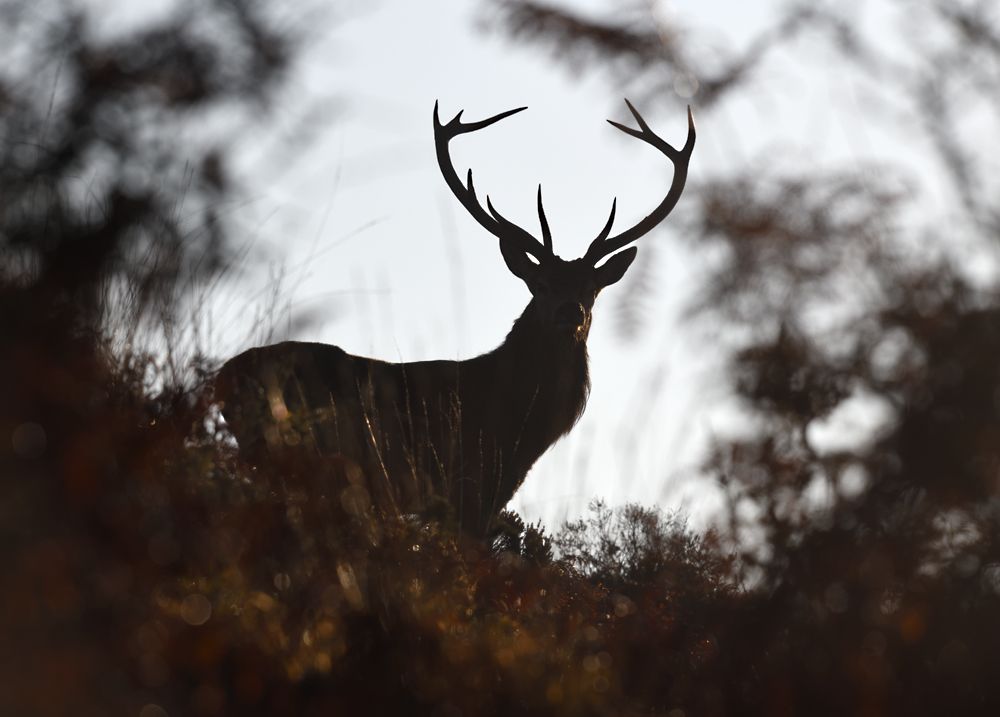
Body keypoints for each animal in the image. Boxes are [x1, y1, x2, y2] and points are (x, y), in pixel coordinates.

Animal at [215, 100, 695, 538]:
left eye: (591, 288)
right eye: (539, 283)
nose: (569, 312)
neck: (519, 423)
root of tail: (221, 379)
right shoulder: (469, 486)